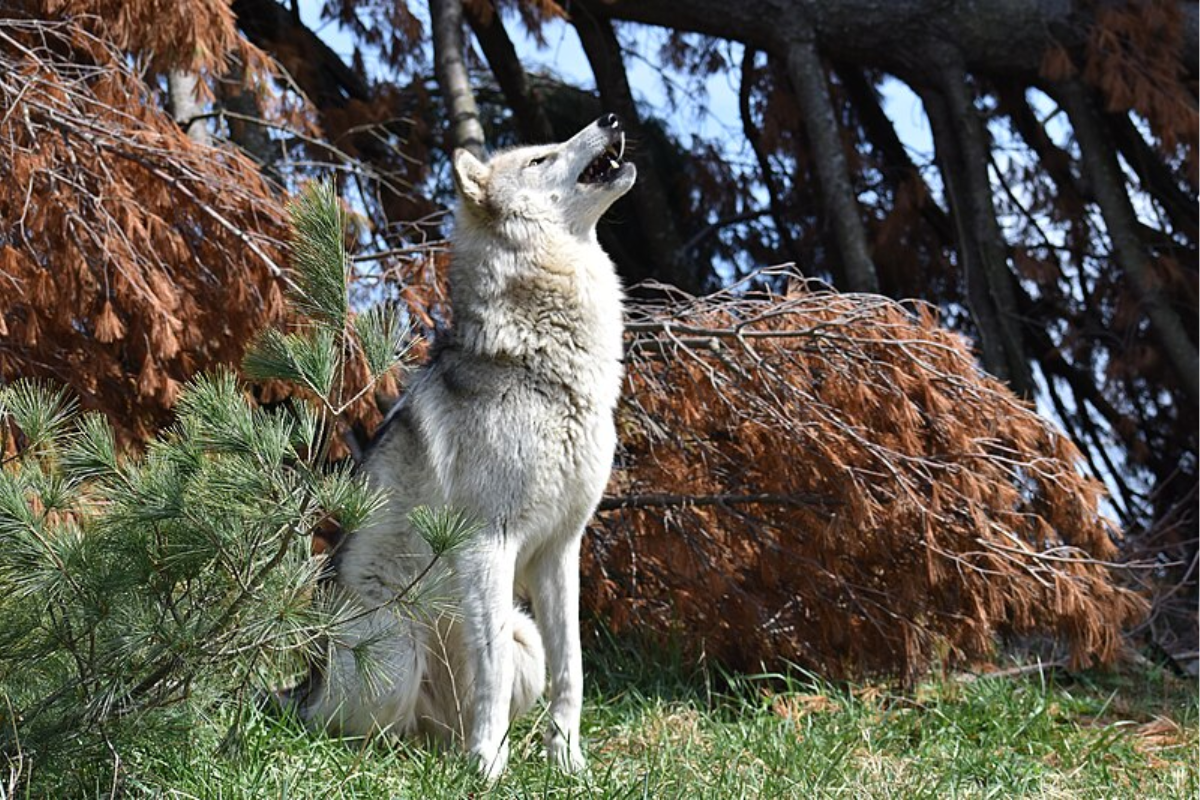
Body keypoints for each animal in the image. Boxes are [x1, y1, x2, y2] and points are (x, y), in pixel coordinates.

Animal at [291, 115, 635, 781]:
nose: (609, 119)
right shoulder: (486, 545)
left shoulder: (560, 550)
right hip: (393, 649)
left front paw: (569, 765)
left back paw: (449, 752)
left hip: (524, 639)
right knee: (349, 733)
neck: (546, 365)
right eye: (540, 159)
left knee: (440, 724)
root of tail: (302, 690)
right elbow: (490, 671)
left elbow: (573, 671)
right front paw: (489, 770)